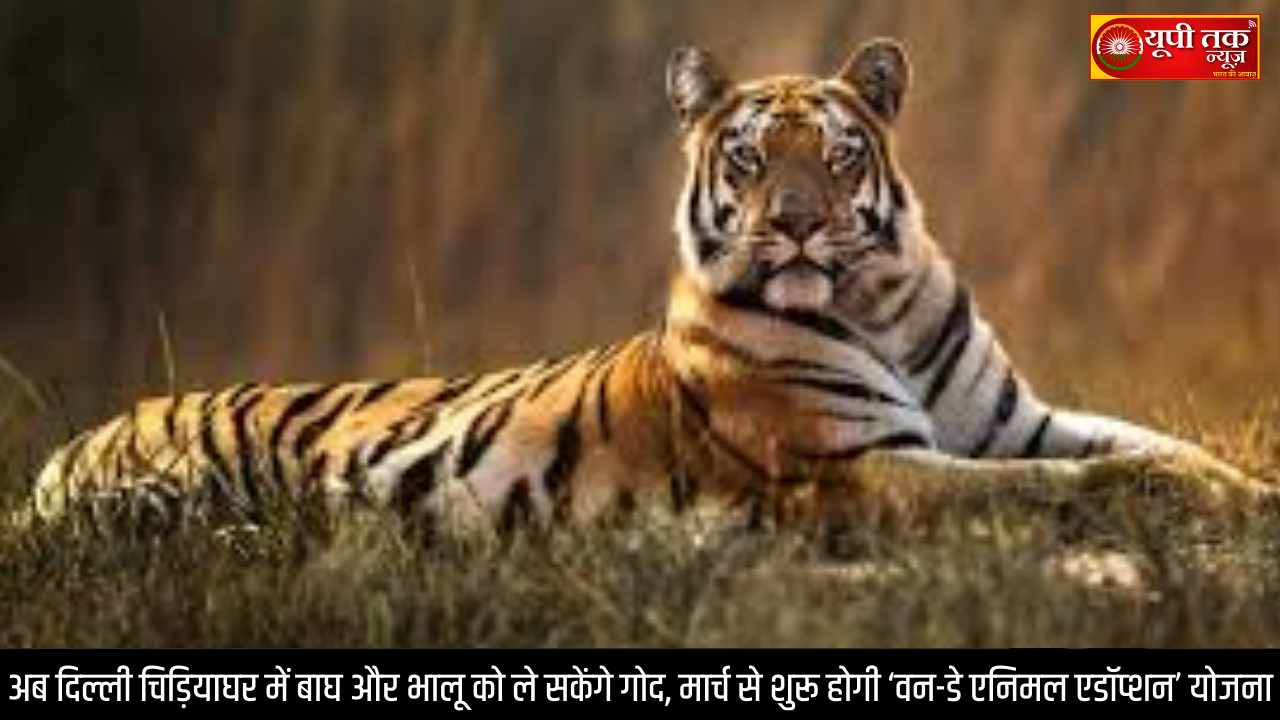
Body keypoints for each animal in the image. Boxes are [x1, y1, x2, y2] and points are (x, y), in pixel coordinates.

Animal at [23, 38, 1270, 545]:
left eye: (834, 155)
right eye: (750, 158)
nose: (794, 222)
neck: (878, 303)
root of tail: (88, 433)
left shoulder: (1014, 421)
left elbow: (1154, 447)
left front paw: (1245, 495)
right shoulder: (855, 470)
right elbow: (1067, 486)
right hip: (162, 489)